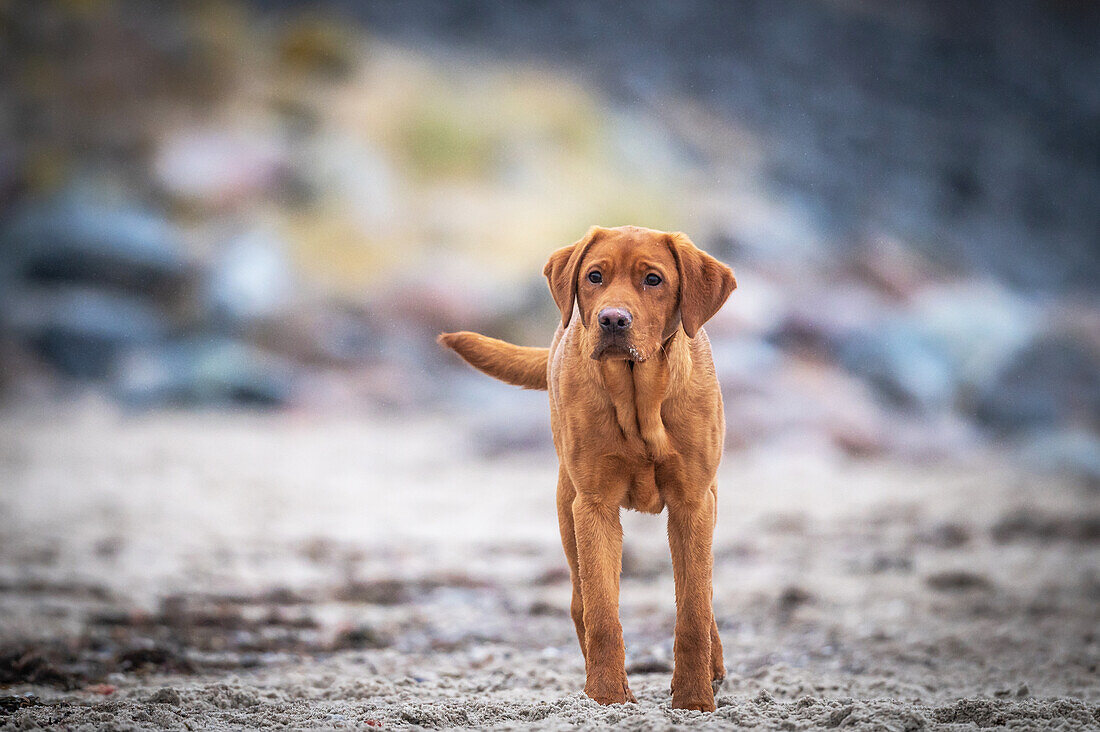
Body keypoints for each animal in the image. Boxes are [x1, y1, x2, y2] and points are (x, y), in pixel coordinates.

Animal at [433, 225, 734, 708]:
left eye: (653, 279)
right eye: (595, 276)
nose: (611, 320)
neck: (638, 402)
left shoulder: (693, 503)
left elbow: (693, 609)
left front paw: (693, 699)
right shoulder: (593, 507)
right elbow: (602, 611)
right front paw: (608, 696)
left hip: (708, 499)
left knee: (704, 595)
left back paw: (715, 666)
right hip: (565, 506)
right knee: (579, 600)